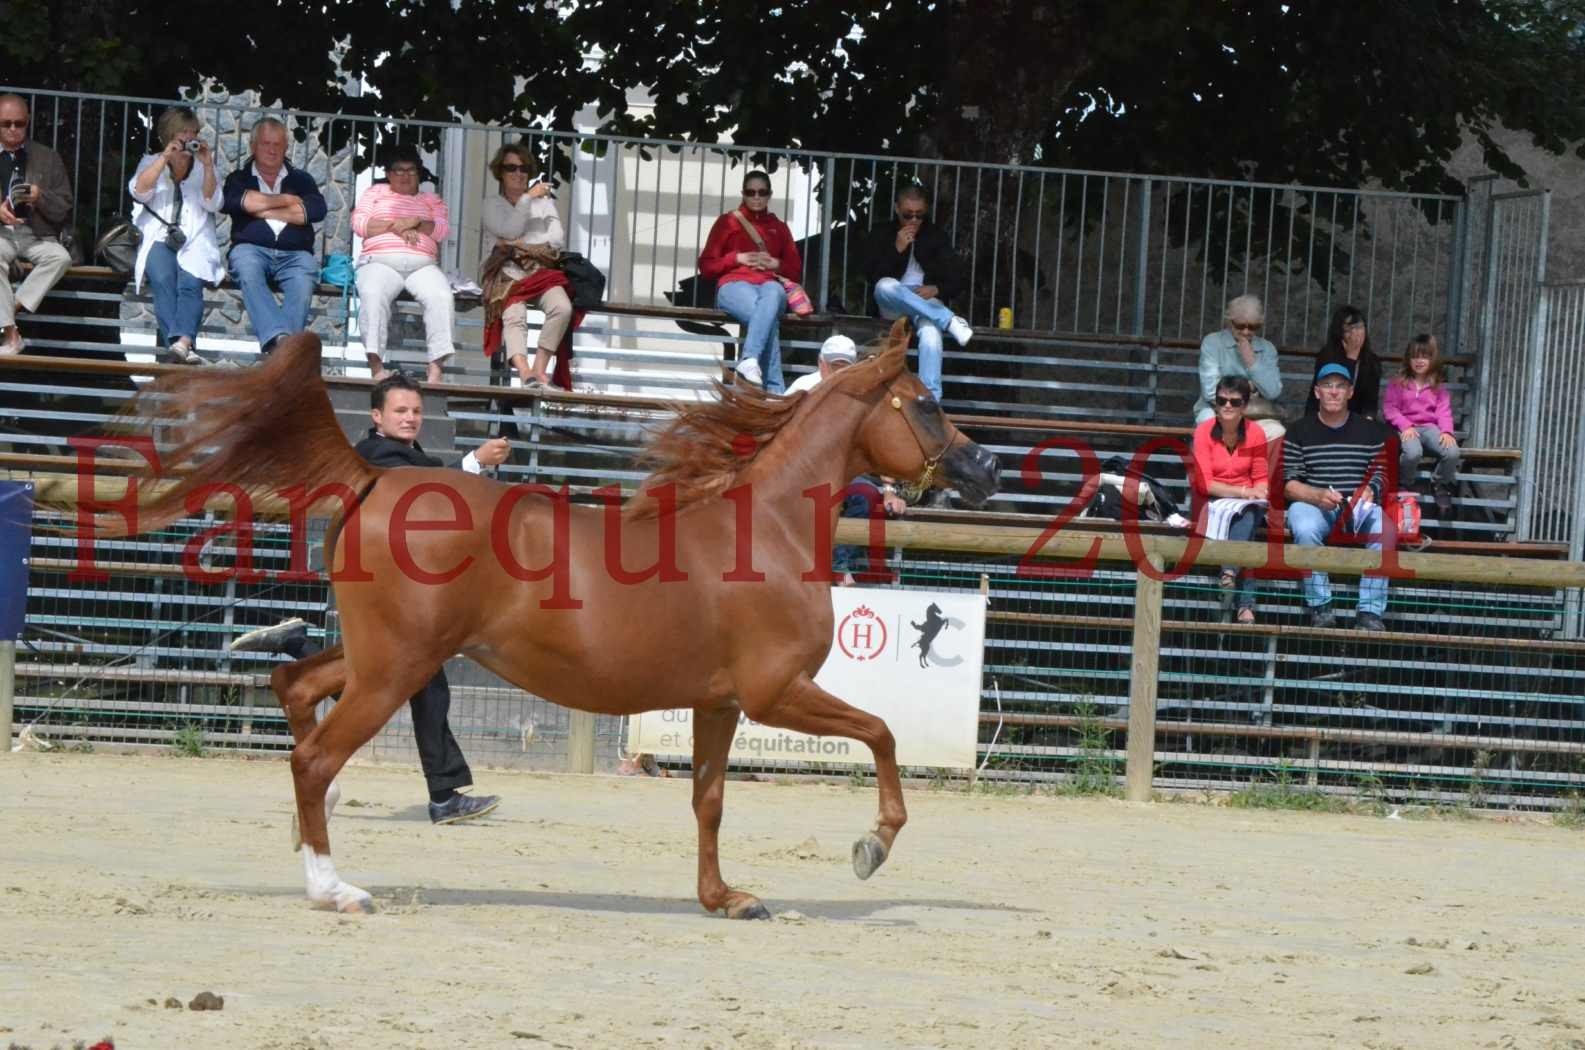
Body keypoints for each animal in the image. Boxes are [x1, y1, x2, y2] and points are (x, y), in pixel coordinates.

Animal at [114, 320, 1001, 919]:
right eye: (926, 404)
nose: (986, 468)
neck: (767, 534)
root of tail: (373, 476)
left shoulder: (718, 703)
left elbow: (709, 800)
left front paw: (725, 897)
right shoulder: (775, 691)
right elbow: (882, 732)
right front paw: (871, 847)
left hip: (382, 657)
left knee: (294, 687)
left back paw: (315, 839)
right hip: (396, 667)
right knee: (315, 755)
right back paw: (336, 888)